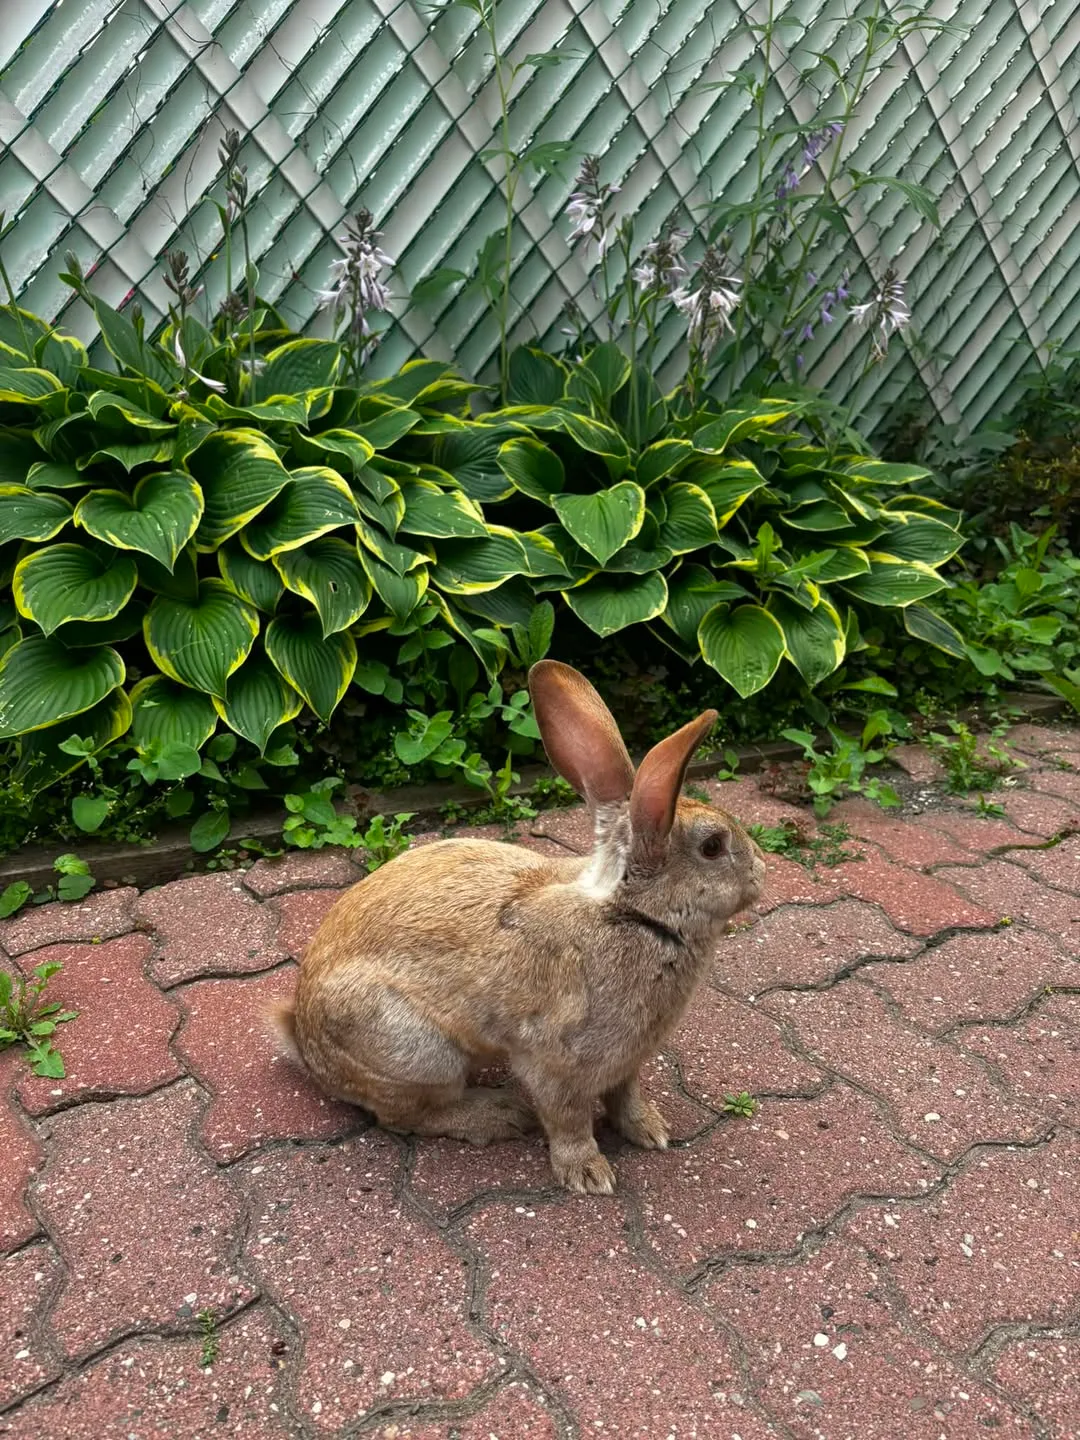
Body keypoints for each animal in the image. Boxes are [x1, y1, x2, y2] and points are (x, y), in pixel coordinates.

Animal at [270, 660, 766, 1194]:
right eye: (713, 847)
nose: (762, 869)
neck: (633, 913)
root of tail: (307, 1046)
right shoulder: (557, 1063)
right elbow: (568, 1119)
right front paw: (588, 1175)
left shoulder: (626, 1061)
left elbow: (626, 1097)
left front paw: (651, 1132)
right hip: (416, 1052)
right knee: (407, 1117)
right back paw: (499, 1115)